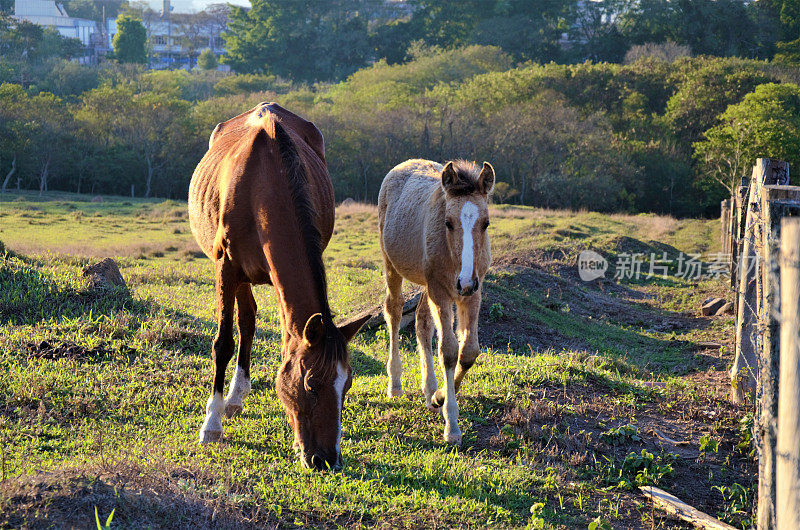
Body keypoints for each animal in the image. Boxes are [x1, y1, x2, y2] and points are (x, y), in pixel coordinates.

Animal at [189, 101, 370, 468]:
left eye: (347, 386)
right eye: (312, 384)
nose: (326, 460)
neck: (264, 184)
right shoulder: (226, 267)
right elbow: (224, 343)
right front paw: (211, 423)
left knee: (249, 318)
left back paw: (236, 396)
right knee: (245, 319)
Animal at [376, 159, 494, 444]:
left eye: (486, 223)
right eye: (448, 222)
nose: (464, 282)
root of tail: (403, 165)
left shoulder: (474, 292)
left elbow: (469, 351)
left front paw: (439, 396)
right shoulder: (440, 291)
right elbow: (449, 351)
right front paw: (451, 424)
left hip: (426, 283)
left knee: (421, 323)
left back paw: (429, 389)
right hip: (393, 266)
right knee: (394, 311)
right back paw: (395, 384)